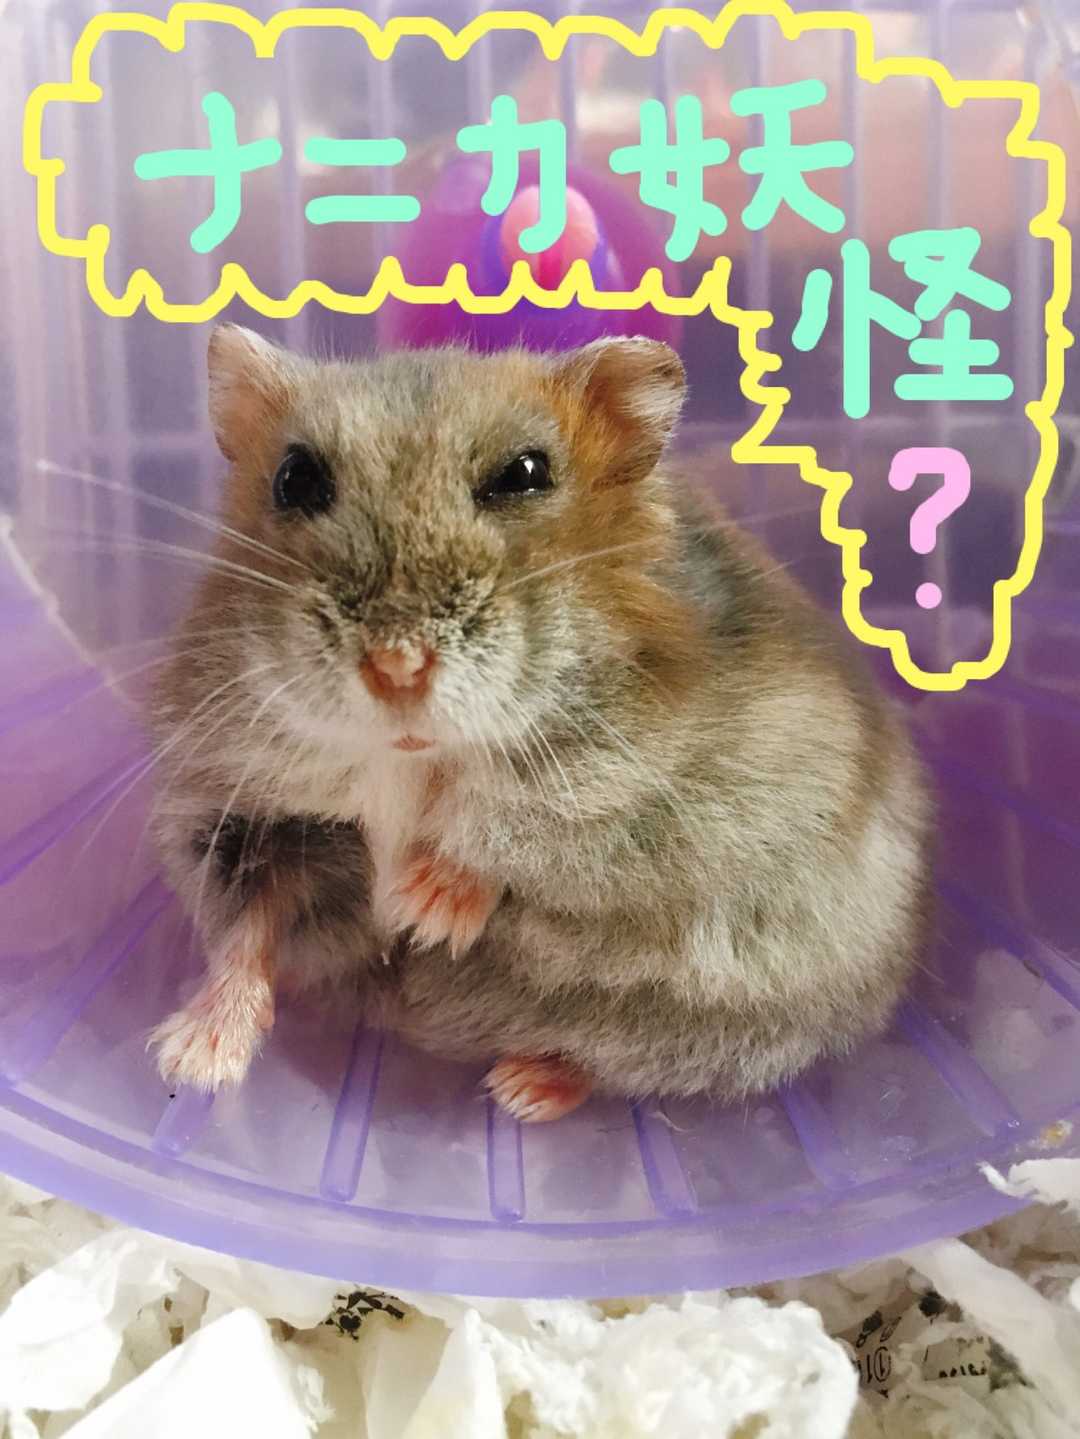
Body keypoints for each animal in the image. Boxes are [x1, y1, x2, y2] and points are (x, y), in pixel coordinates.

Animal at [147, 324, 933, 1120]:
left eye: (524, 472)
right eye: (295, 478)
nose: (396, 667)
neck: (409, 757)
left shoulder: (637, 789)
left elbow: (516, 832)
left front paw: (419, 910)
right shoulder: (247, 821)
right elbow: (250, 930)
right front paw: (190, 1059)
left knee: (611, 1060)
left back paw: (522, 1089)